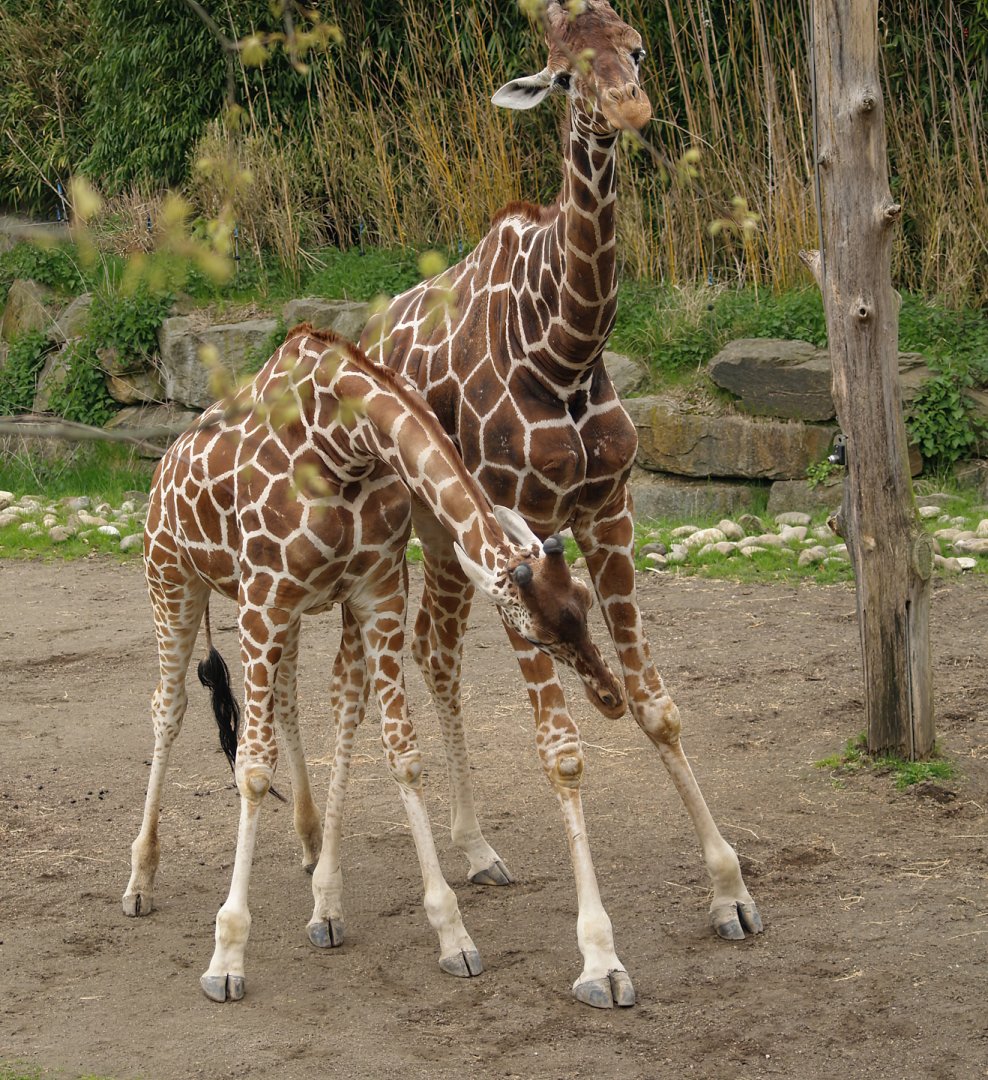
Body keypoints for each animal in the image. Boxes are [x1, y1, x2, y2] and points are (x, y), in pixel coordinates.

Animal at [122, 323, 626, 1003]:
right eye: (538, 637)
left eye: (584, 604)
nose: (610, 698)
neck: (342, 443)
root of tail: (160, 469)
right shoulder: (264, 598)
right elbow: (251, 768)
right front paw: (226, 957)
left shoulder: (376, 589)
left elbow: (402, 752)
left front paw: (453, 935)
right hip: (173, 581)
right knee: (168, 706)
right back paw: (139, 882)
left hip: (287, 614)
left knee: (290, 701)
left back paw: (311, 846)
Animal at [359, 0, 762, 1008]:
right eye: (565, 74)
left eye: (637, 48)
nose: (629, 108)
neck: (566, 348)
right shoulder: (521, 533)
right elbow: (562, 749)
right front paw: (600, 955)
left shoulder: (606, 512)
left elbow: (660, 708)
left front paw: (730, 893)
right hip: (422, 530)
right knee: (429, 654)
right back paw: (470, 853)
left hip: (448, 541)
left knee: (433, 649)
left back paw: (478, 850)